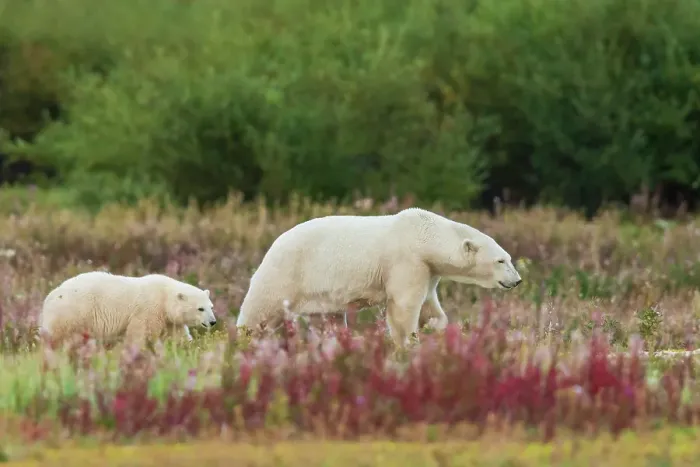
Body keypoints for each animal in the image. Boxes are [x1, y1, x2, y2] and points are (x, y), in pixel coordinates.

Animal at [38, 271, 217, 349]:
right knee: (59, 336)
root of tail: (49, 297)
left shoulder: (168, 319)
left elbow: (178, 335)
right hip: (73, 313)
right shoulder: (149, 309)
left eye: (211, 306)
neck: (165, 296)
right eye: (200, 308)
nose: (213, 322)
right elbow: (138, 333)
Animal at [235, 207, 522, 347]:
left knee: (328, 321)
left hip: (319, 295)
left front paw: (434, 325)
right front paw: (407, 341)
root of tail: (273, 245)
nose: (517, 280)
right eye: (501, 260)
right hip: (287, 273)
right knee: (260, 311)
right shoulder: (407, 261)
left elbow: (429, 304)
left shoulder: (428, 270)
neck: (424, 236)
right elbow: (404, 306)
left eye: (509, 258)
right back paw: (242, 341)